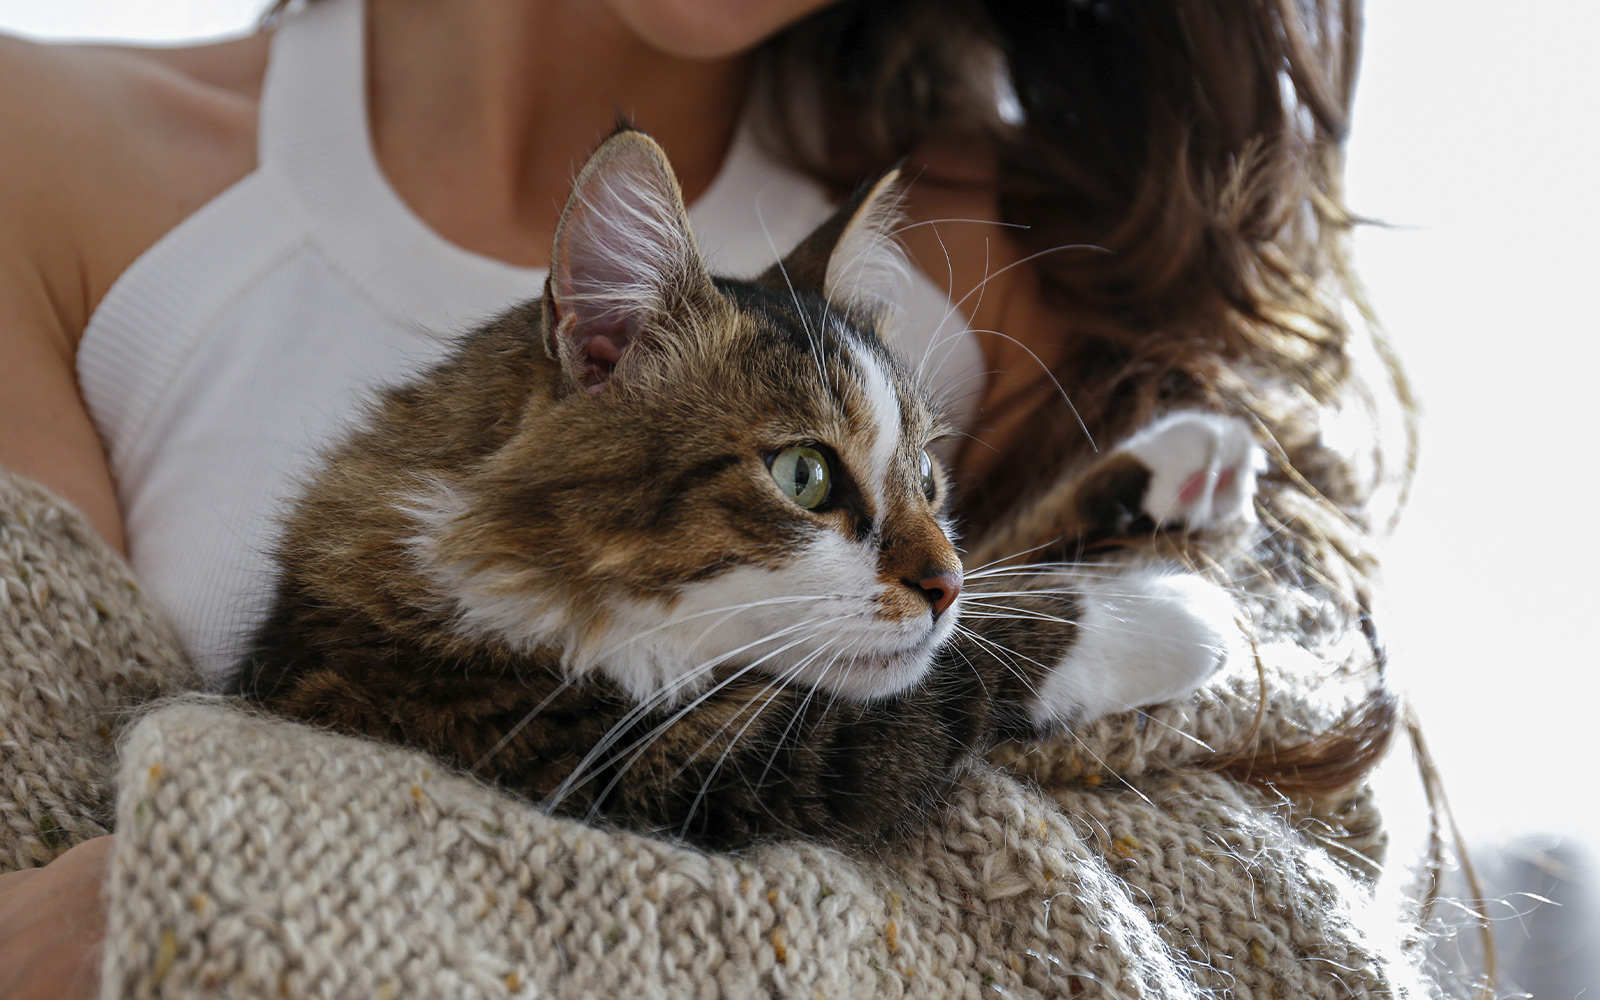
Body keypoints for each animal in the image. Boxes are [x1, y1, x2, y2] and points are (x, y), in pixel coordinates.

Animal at [232, 126, 1260, 851]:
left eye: (927, 477)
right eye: (803, 476)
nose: (944, 586)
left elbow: (1003, 567)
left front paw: (1185, 460)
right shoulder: (640, 770)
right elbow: (963, 666)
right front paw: (1172, 604)